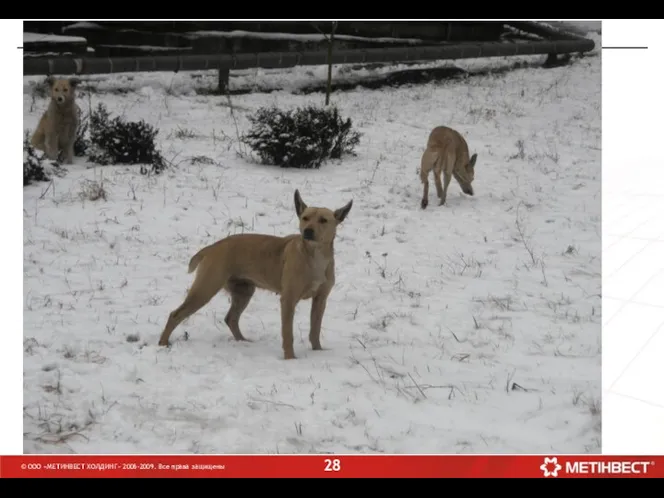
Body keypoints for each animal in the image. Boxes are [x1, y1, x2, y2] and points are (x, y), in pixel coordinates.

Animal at [158, 190, 352, 358]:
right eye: (305, 218)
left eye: (323, 220)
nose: (308, 231)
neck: (314, 255)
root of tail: (213, 247)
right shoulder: (288, 300)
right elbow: (287, 333)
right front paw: (290, 358)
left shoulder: (320, 300)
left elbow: (315, 330)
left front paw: (318, 352)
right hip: (205, 289)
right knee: (175, 315)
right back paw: (162, 344)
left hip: (244, 291)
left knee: (231, 319)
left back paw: (242, 341)